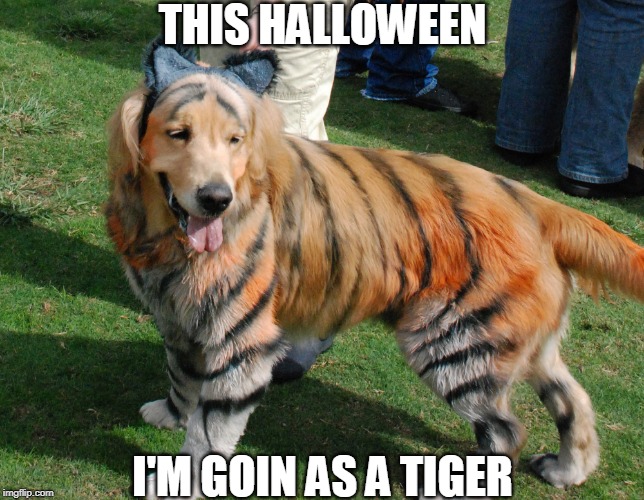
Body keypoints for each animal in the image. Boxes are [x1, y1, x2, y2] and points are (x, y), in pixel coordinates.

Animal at [105, 41, 644, 497]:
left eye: (235, 140)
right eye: (179, 134)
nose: (217, 200)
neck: (163, 236)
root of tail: (535, 202)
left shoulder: (242, 341)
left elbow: (209, 435)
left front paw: (181, 479)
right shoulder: (179, 319)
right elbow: (180, 377)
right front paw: (171, 413)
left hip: (452, 347)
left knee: (506, 432)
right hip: (517, 346)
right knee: (574, 402)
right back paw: (568, 469)